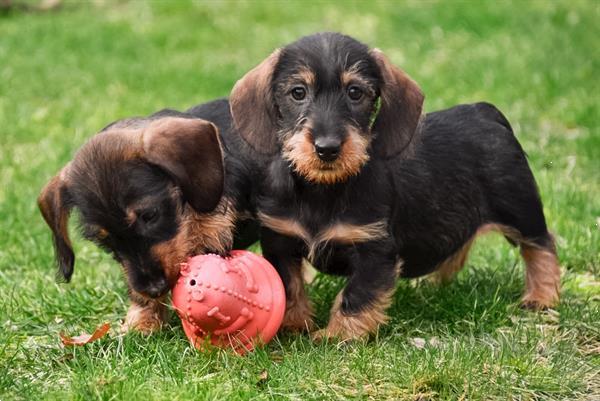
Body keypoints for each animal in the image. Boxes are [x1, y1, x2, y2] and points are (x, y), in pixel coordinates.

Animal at [230, 32, 564, 340]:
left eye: (355, 92)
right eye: (297, 92)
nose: (327, 148)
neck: (323, 190)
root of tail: (485, 112)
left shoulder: (375, 250)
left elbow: (356, 295)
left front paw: (338, 335)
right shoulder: (280, 240)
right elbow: (289, 285)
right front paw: (294, 325)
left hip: (519, 208)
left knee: (541, 246)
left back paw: (541, 297)